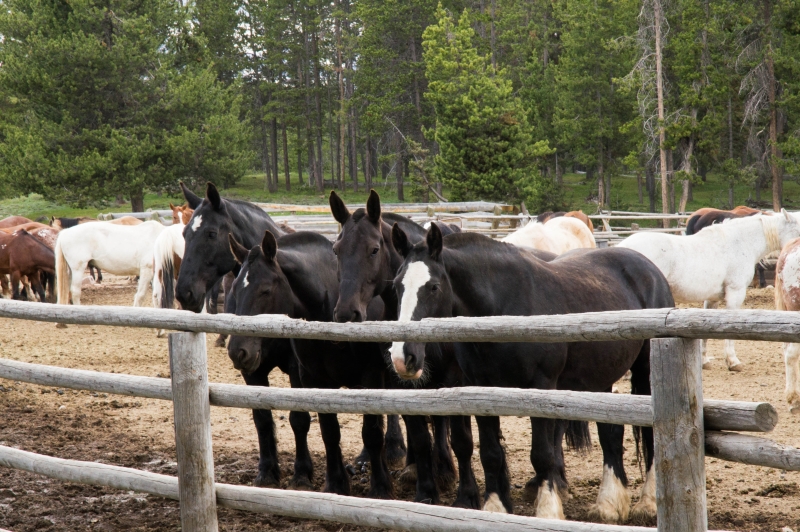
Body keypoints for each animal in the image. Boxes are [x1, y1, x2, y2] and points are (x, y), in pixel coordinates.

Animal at [228, 230, 398, 499]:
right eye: (235, 290)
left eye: (265, 290)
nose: (237, 351)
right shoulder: (310, 378)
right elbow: (326, 431)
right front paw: (334, 482)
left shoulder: (369, 375)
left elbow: (369, 431)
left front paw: (380, 487)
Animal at [390, 223, 673, 522]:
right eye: (397, 286)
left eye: (433, 286)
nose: (402, 357)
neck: (503, 308)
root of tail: (648, 268)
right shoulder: (480, 389)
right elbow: (490, 454)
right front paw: (495, 508)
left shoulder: (542, 387)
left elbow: (541, 454)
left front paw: (548, 510)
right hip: (601, 376)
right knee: (611, 435)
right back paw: (609, 504)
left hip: (644, 371)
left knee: (649, 434)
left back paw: (647, 503)